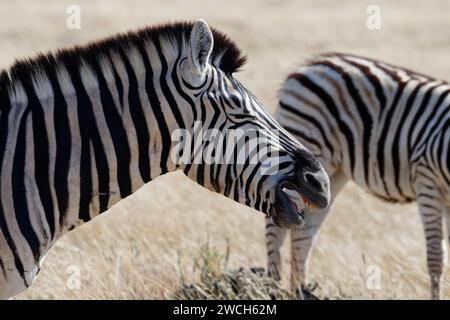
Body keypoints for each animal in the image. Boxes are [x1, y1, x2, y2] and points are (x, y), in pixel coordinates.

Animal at [266, 52, 450, 300]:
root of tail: (305, 67)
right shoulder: (428, 182)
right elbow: (436, 258)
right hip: (306, 150)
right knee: (276, 223)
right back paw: (271, 287)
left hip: (330, 175)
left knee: (303, 232)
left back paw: (299, 291)